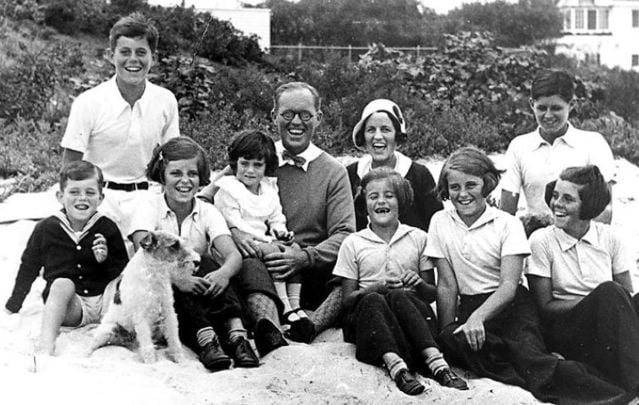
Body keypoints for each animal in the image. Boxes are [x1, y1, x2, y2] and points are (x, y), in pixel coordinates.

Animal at [90, 230, 199, 362]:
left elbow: (174, 338)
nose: (197, 262)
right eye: (174, 245)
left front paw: (180, 360)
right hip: (108, 329)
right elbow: (147, 345)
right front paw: (151, 362)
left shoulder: (168, 312)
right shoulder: (141, 316)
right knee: (92, 346)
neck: (154, 273)